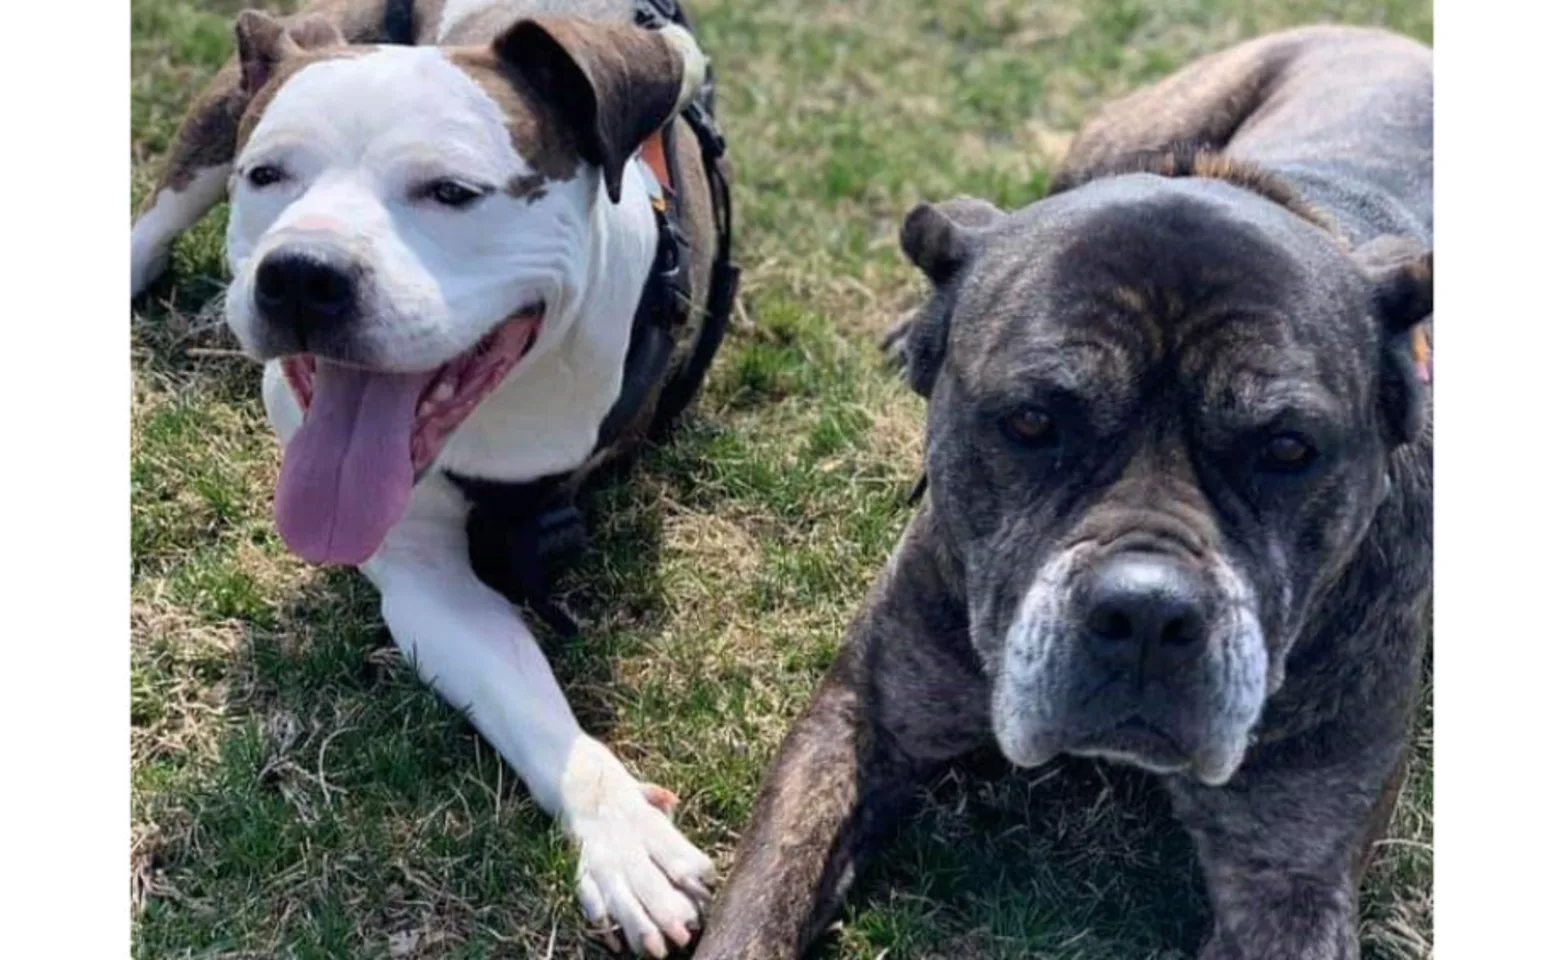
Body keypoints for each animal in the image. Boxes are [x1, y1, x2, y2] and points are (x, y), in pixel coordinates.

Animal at [129, 0, 738, 956]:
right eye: (268, 175)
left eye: (451, 193)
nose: (301, 274)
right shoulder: (423, 580)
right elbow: (531, 702)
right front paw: (621, 832)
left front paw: (621, 834)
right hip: (217, 118)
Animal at [697, 22, 1432, 960]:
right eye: (1031, 422)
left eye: (1287, 449)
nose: (1148, 614)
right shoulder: (860, 720)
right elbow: (759, 906)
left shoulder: (1290, 878)